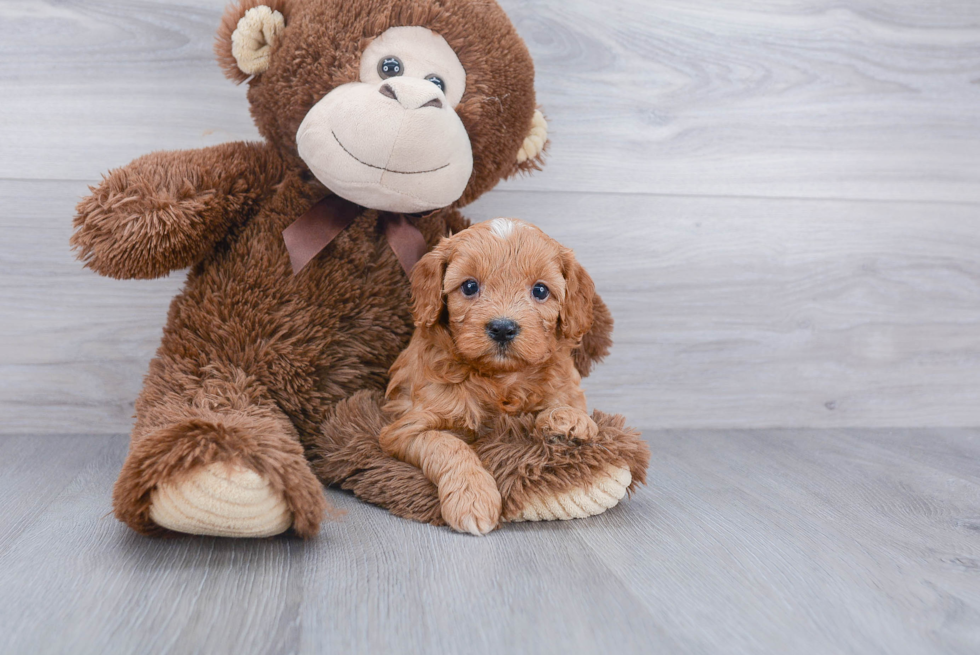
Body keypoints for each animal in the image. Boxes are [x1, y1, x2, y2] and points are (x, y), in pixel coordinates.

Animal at [380, 218, 596, 536]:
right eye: (470, 286)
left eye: (540, 291)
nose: (503, 328)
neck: (499, 378)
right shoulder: (406, 428)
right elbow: (448, 445)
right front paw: (472, 498)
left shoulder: (562, 379)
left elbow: (564, 398)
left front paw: (570, 419)